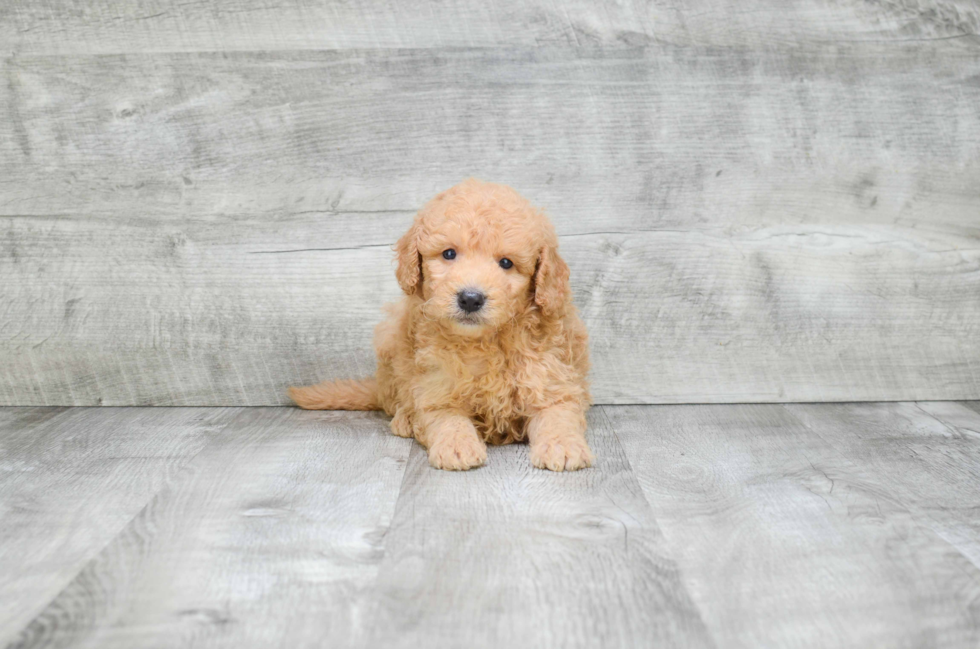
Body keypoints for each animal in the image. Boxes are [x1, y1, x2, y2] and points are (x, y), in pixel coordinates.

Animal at [288, 178, 592, 470]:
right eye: (448, 254)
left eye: (506, 263)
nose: (470, 298)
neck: (485, 341)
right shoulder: (436, 386)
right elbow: (447, 419)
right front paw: (457, 447)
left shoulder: (551, 380)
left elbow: (558, 415)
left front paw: (563, 447)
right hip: (391, 345)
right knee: (395, 399)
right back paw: (405, 419)